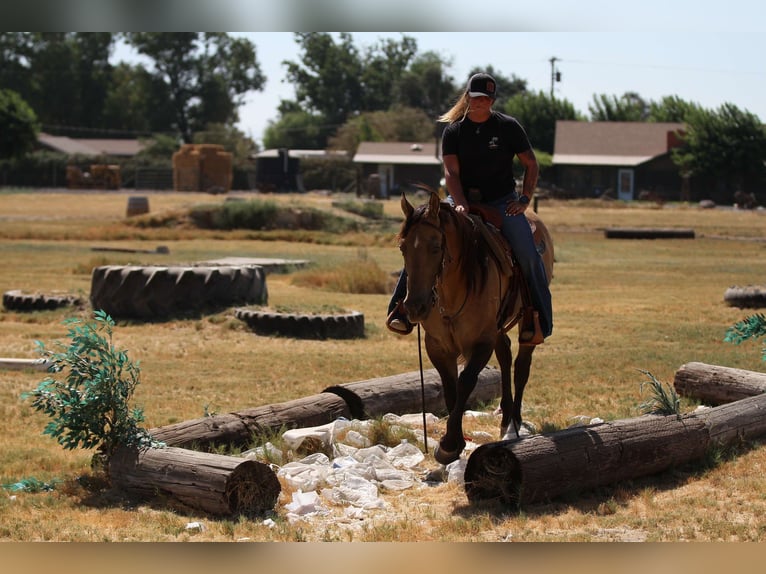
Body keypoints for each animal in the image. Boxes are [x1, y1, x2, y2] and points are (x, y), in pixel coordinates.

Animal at [400, 191, 556, 466]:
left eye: (436, 247)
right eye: (402, 247)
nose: (415, 306)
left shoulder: (481, 342)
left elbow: (465, 382)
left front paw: (449, 445)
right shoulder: (437, 346)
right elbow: (450, 388)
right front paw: (454, 441)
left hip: (525, 325)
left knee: (521, 367)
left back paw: (514, 421)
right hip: (498, 329)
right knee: (505, 356)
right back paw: (505, 418)